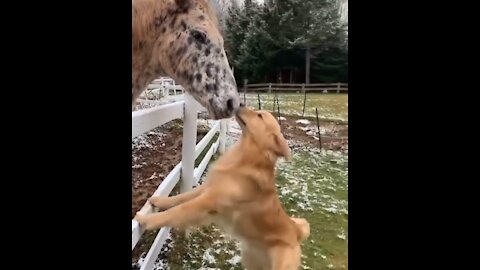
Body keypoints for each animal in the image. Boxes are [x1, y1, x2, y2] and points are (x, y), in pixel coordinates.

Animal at [134, 106, 312, 268]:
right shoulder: (207, 189)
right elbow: (181, 197)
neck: (244, 160)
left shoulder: (208, 202)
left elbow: (177, 211)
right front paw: (158, 201)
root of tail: (296, 231)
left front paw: (145, 220)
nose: (239, 104)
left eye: (260, 115)